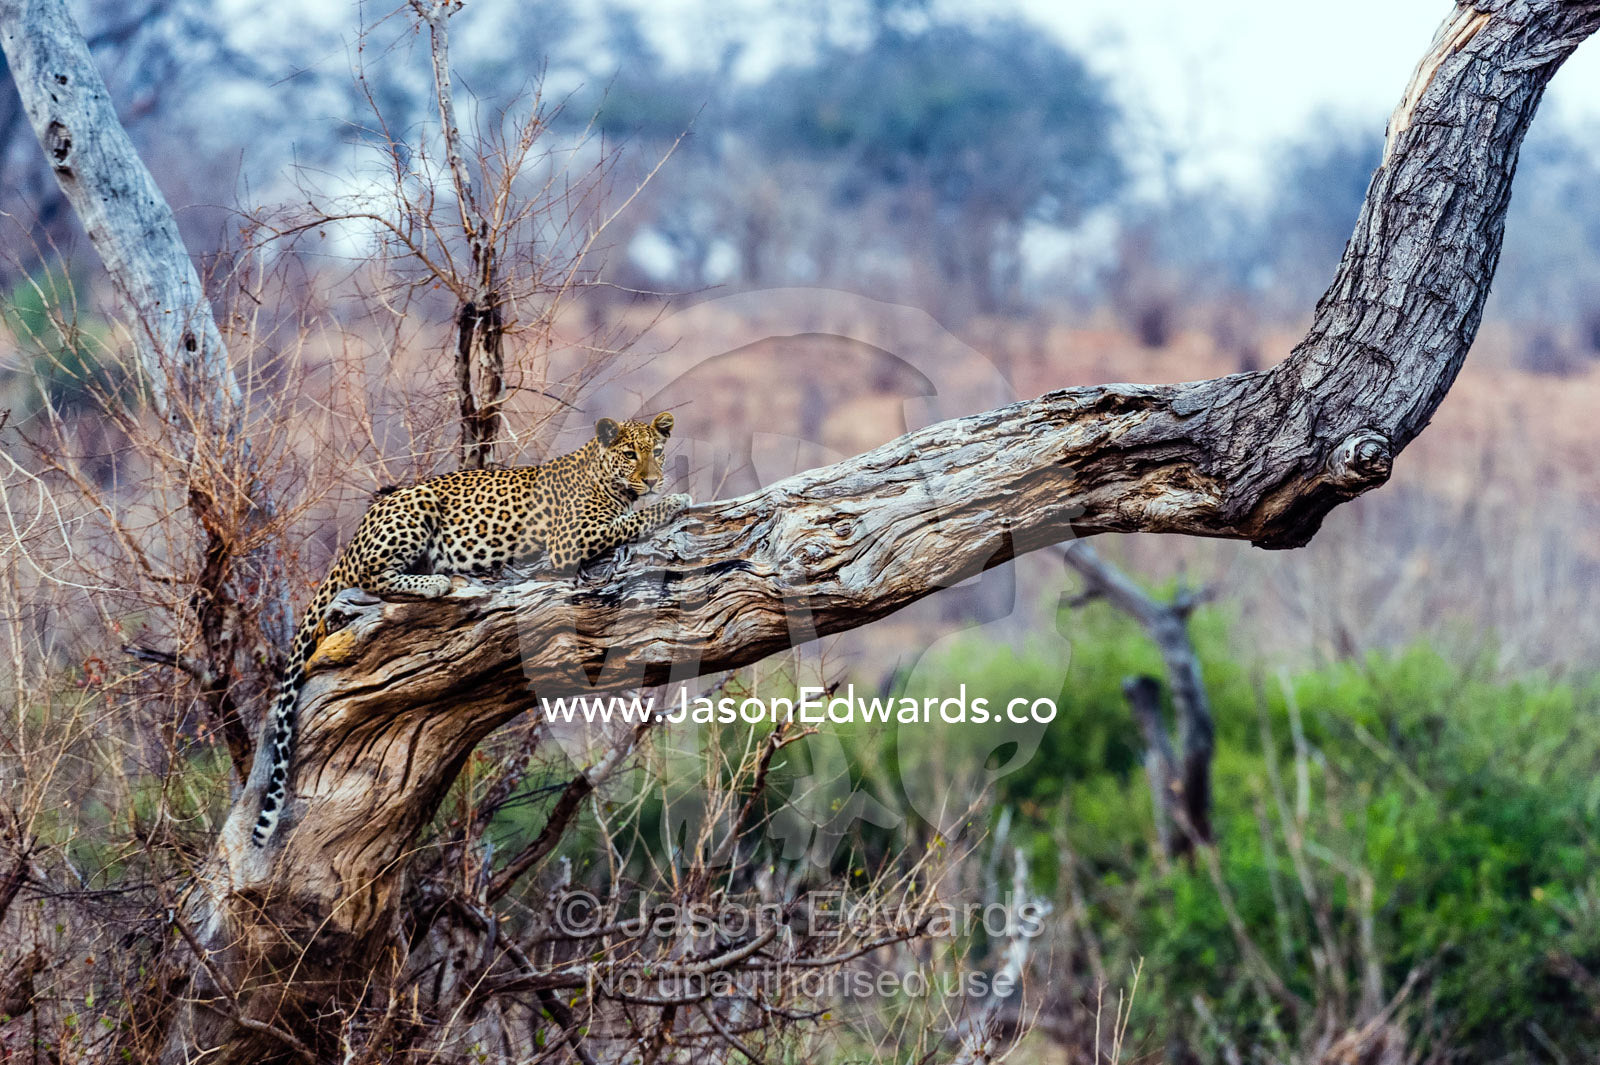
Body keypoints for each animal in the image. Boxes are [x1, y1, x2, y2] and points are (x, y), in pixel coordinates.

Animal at [250, 412, 689, 847]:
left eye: (657, 452)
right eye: (630, 454)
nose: (653, 480)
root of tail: (354, 539)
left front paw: (668, 496)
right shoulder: (573, 538)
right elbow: (632, 519)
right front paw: (674, 501)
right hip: (416, 506)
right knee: (372, 575)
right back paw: (433, 581)